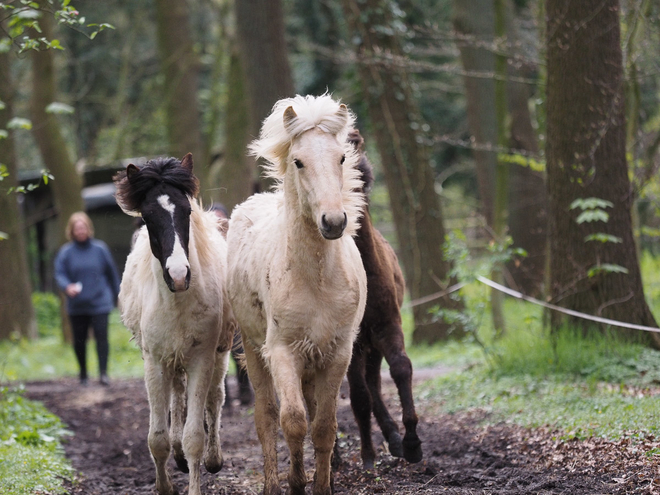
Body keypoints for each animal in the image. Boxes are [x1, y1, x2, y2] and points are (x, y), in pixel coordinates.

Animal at [114, 155, 233, 495]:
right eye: (147, 216)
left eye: (187, 211)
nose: (179, 275)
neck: (177, 302)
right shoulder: (154, 362)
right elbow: (157, 437)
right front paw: (164, 486)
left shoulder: (202, 359)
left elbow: (195, 437)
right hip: (171, 360)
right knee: (177, 398)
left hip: (218, 352)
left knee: (214, 398)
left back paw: (213, 458)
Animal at [228, 96, 368, 495]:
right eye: (298, 161)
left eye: (341, 157)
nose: (333, 222)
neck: (316, 279)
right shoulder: (282, 352)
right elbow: (292, 421)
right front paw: (295, 482)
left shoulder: (336, 354)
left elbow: (323, 427)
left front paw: (321, 486)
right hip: (255, 351)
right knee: (266, 417)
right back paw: (272, 484)